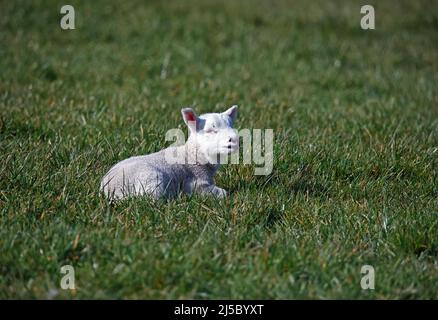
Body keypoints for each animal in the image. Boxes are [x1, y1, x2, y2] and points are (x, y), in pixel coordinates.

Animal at [100, 105, 240, 200]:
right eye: (211, 130)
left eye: (231, 125)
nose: (235, 139)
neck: (192, 155)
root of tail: (109, 188)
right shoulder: (196, 184)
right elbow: (222, 193)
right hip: (151, 181)